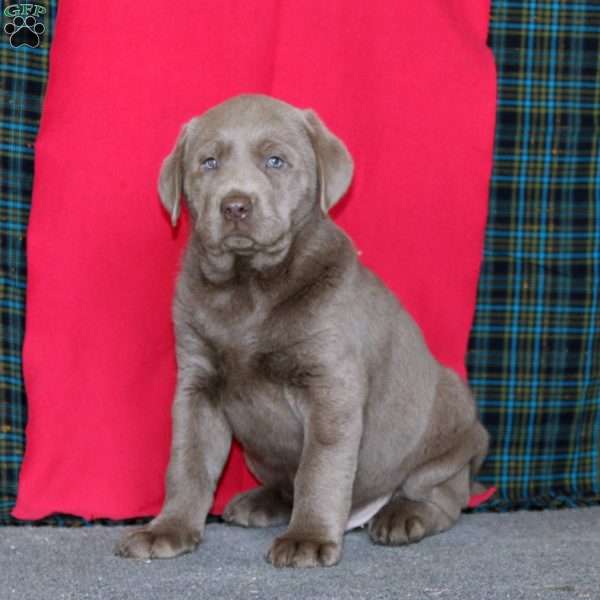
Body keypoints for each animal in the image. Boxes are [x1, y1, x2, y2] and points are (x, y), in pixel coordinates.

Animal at [115, 94, 490, 568]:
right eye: (209, 162)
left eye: (275, 161)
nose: (235, 205)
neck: (248, 287)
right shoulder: (196, 386)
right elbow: (187, 461)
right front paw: (168, 529)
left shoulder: (330, 386)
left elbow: (320, 468)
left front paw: (307, 540)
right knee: (285, 482)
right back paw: (260, 503)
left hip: (450, 421)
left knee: (444, 496)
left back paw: (405, 516)